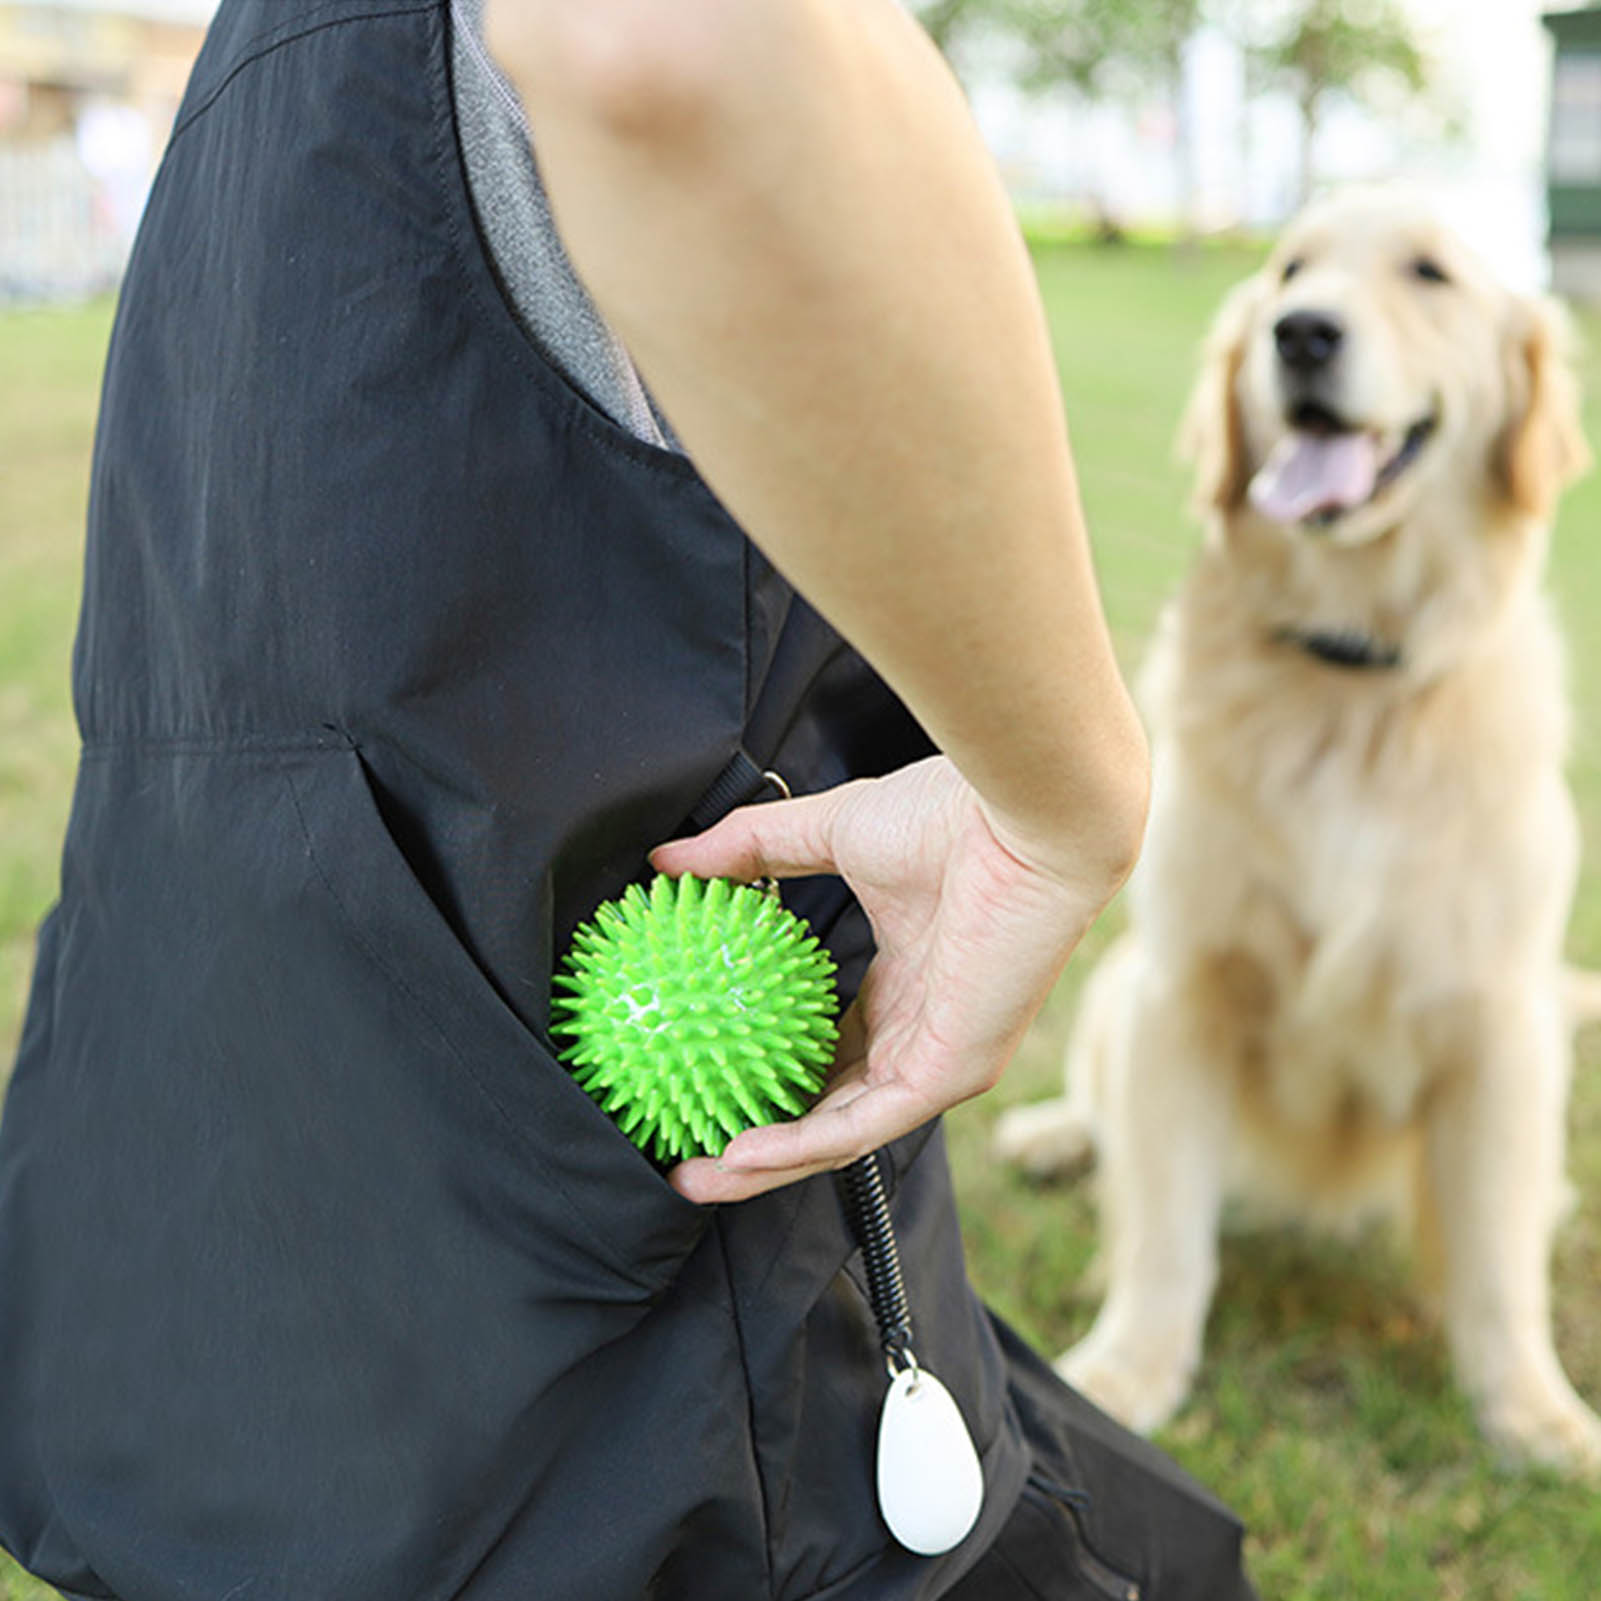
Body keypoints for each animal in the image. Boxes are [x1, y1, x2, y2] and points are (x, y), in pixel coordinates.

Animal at [999, 187, 1601, 1472]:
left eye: (1428, 274)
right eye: (1286, 272)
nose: (1302, 335)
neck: (1350, 678)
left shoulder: (1499, 1022)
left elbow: (1494, 1265)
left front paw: (1532, 1415)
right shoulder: (1181, 984)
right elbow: (1164, 1224)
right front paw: (1125, 1373)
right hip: (1117, 980)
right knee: (1102, 1101)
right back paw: (1053, 1134)